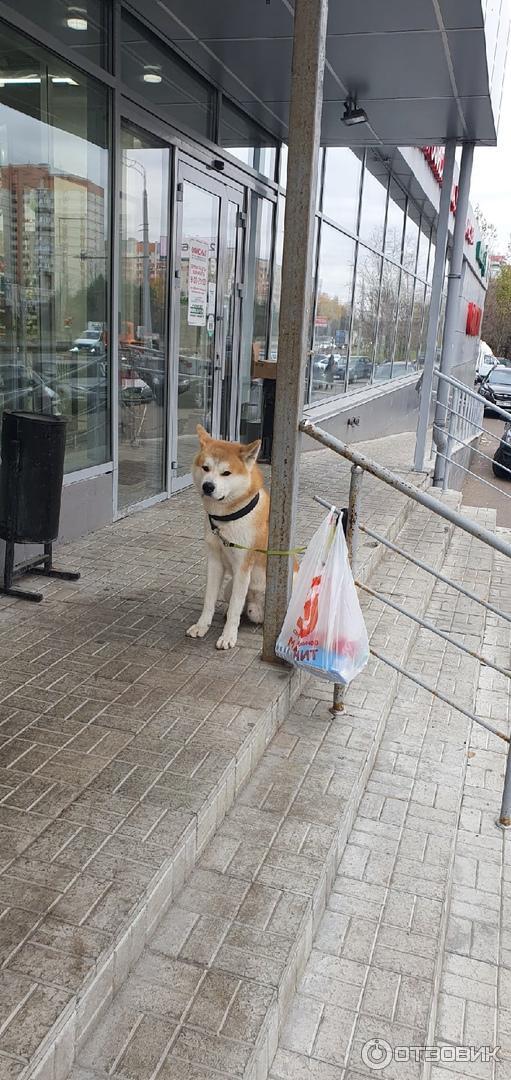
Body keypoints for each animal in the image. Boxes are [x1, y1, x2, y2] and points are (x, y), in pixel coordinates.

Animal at [184, 423, 269, 648]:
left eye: (226, 473)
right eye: (205, 468)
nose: (208, 486)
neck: (227, 519)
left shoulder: (242, 567)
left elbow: (235, 610)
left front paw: (228, 636)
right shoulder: (214, 561)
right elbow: (210, 600)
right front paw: (202, 626)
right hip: (229, 588)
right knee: (242, 607)